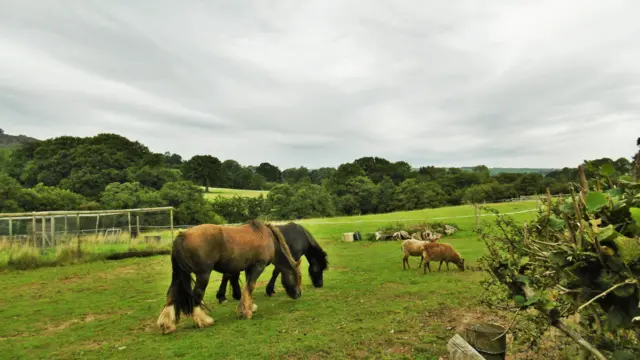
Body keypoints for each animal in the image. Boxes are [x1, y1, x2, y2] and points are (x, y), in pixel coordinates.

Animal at [157, 219, 302, 334]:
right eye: (297, 277)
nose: (298, 294)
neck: (266, 236)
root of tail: (182, 235)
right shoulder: (258, 267)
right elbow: (250, 287)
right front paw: (246, 312)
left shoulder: (249, 268)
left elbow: (247, 289)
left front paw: (248, 307)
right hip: (203, 275)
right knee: (197, 295)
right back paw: (204, 321)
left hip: (178, 275)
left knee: (171, 295)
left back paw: (167, 325)